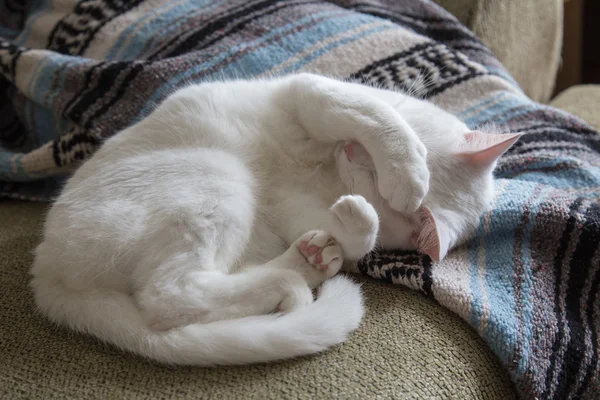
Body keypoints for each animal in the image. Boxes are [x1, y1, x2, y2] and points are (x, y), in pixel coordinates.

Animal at [29, 72, 520, 366]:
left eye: (376, 186)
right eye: (373, 171)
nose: (351, 152)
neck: (326, 171)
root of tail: (46, 270)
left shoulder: (296, 206)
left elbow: (361, 238)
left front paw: (358, 220)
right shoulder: (312, 92)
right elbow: (374, 115)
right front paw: (408, 168)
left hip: (225, 195)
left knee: (173, 297)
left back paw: (307, 264)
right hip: (220, 179)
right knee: (170, 298)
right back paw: (298, 273)